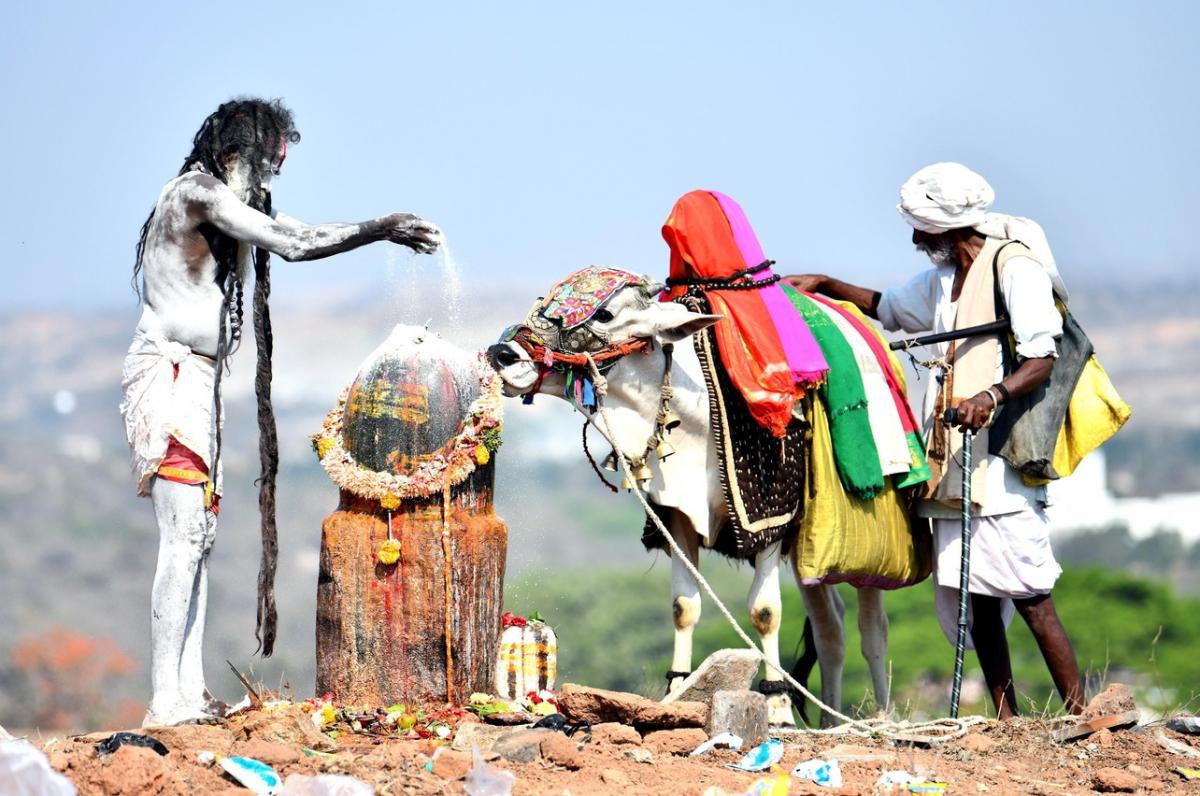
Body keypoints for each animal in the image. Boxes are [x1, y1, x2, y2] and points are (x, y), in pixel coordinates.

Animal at [487, 279, 892, 729]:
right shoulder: (678, 519)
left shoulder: (769, 521)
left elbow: (765, 612)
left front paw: (777, 707)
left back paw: (881, 716)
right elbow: (684, 607)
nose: (501, 354)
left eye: (604, 315)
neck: (698, 413)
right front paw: (677, 690)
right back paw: (830, 719)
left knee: (872, 625)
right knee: (830, 627)